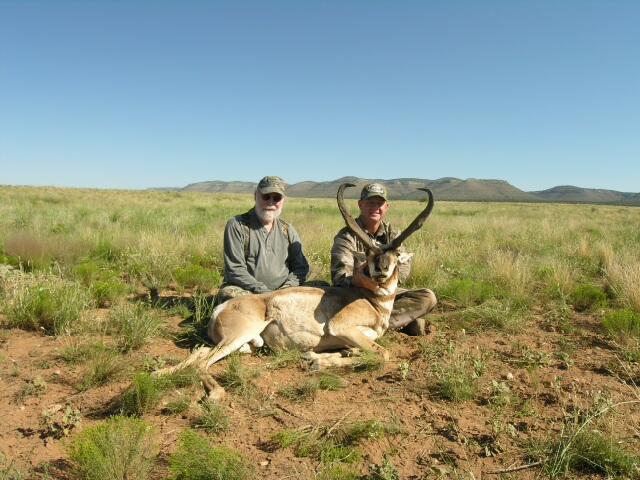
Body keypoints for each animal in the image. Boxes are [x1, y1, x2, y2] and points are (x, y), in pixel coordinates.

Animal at [155, 182, 436, 400]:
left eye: (396, 254)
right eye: (368, 253)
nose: (381, 270)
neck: (371, 301)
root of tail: (223, 308)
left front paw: (325, 356)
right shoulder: (342, 327)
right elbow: (383, 354)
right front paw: (317, 360)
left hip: (242, 343)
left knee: (200, 352)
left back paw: (158, 372)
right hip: (240, 334)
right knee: (203, 362)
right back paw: (215, 393)